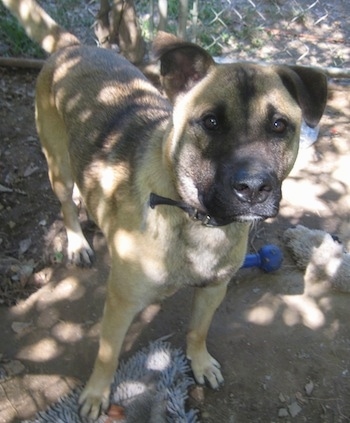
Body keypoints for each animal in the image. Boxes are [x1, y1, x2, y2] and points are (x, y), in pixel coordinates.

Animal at [2, 0, 328, 420]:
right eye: (210, 121)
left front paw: (199, 362)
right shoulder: (120, 304)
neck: (196, 221)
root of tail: (74, 47)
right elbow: (107, 355)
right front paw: (95, 394)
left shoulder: (214, 289)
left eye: (279, 125)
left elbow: (198, 330)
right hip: (57, 164)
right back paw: (77, 242)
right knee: (64, 203)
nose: (254, 188)